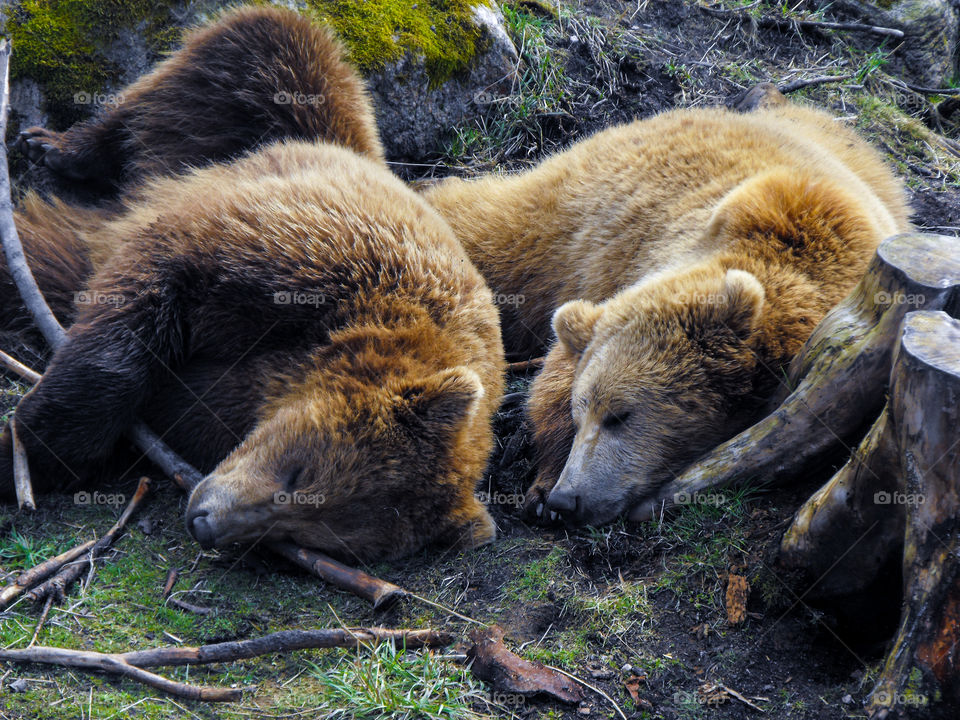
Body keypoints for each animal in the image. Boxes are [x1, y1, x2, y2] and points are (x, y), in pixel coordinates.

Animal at [0, 5, 506, 564]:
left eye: (309, 535)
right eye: (298, 473)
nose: (204, 521)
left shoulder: (222, 403)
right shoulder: (296, 260)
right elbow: (141, 310)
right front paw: (23, 452)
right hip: (268, 108)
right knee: (251, 44)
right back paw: (55, 145)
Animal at [424, 98, 912, 524]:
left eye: (621, 415)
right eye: (582, 412)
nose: (568, 498)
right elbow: (555, 373)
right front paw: (545, 488)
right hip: (564, 219)